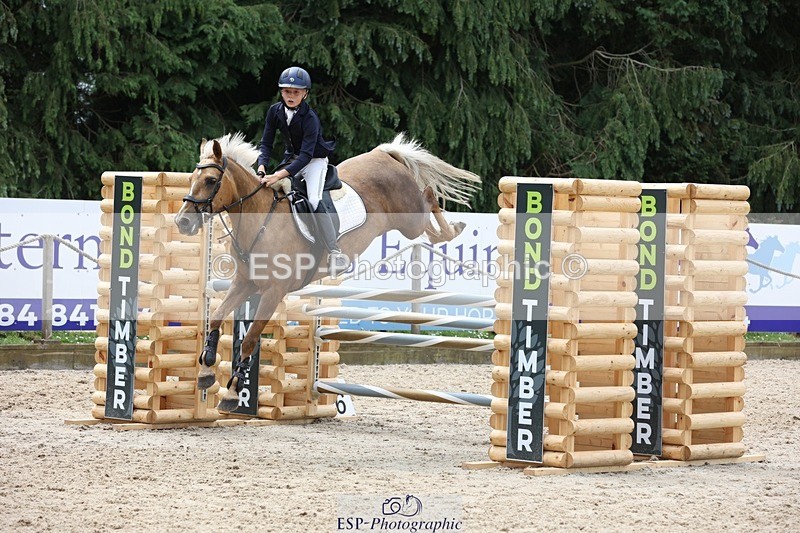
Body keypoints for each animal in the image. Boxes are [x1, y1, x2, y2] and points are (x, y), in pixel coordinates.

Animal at [175, 133, 481, 411]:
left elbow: (249, 340)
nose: (182, 222)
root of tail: (384, 154)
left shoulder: (273, 292)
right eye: (190, 180)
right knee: (429, 216)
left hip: (409, 219)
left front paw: (230, 394)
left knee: (429, 197)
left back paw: (454, 229)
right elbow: (215, 318)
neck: (260, 219)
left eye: (211, 181)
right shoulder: (244, 284)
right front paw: (206, 372)